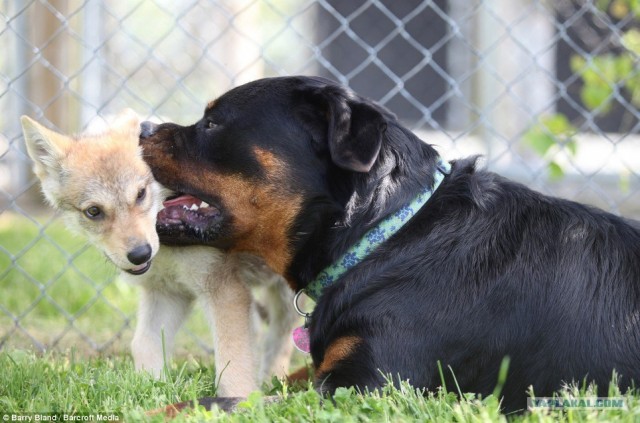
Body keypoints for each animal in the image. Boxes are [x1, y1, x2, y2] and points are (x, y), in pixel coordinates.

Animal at [140, 75, 640, 410]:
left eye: (212, 123)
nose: (143, 127)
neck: (385, 235)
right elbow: (274, 382)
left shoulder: (364, 389)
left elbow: (228, 402)